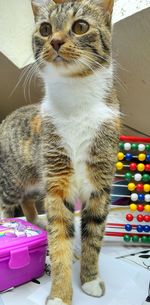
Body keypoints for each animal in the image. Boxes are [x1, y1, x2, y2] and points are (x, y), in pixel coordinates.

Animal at [0, 0, 120, 304]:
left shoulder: (100, 181)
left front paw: (90, 279)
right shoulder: (56, 178)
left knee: (28, 206)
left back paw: (37, 223)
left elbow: (94, 233)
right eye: (45, 29)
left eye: (81, 26)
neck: (76, 101)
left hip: (35, 181)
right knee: (8, 206)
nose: (54, 41)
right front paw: (59, 294)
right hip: (14, 179)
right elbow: (60, 237)